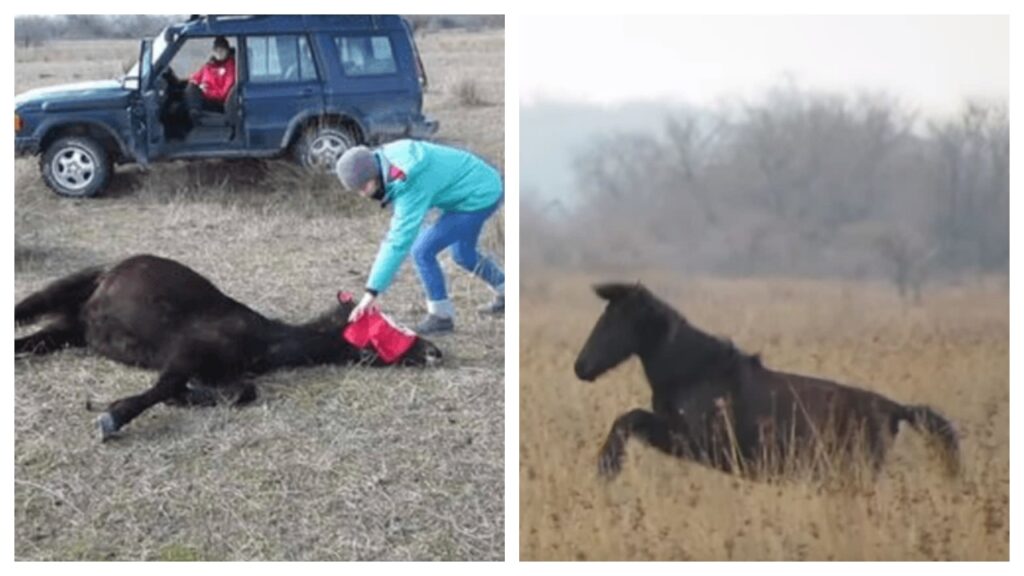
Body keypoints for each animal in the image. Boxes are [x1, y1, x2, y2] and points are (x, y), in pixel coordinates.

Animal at [14, 254, 440, 438]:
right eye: (380, 324)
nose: (434, 351)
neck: (262, 339)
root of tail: (112, 269)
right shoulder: (185, 352)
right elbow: (166, 386)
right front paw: (112, 416)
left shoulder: (217, 370)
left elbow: (241, 391)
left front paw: (189, 397)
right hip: (62, 293)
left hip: (73, 328)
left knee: (31, 341)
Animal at [577, 282, 958, 479]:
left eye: (614, 320)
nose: (581, 367)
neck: (695, 373)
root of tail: (895, 409)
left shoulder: (694, 441)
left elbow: (630, 418)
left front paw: (607, 467)